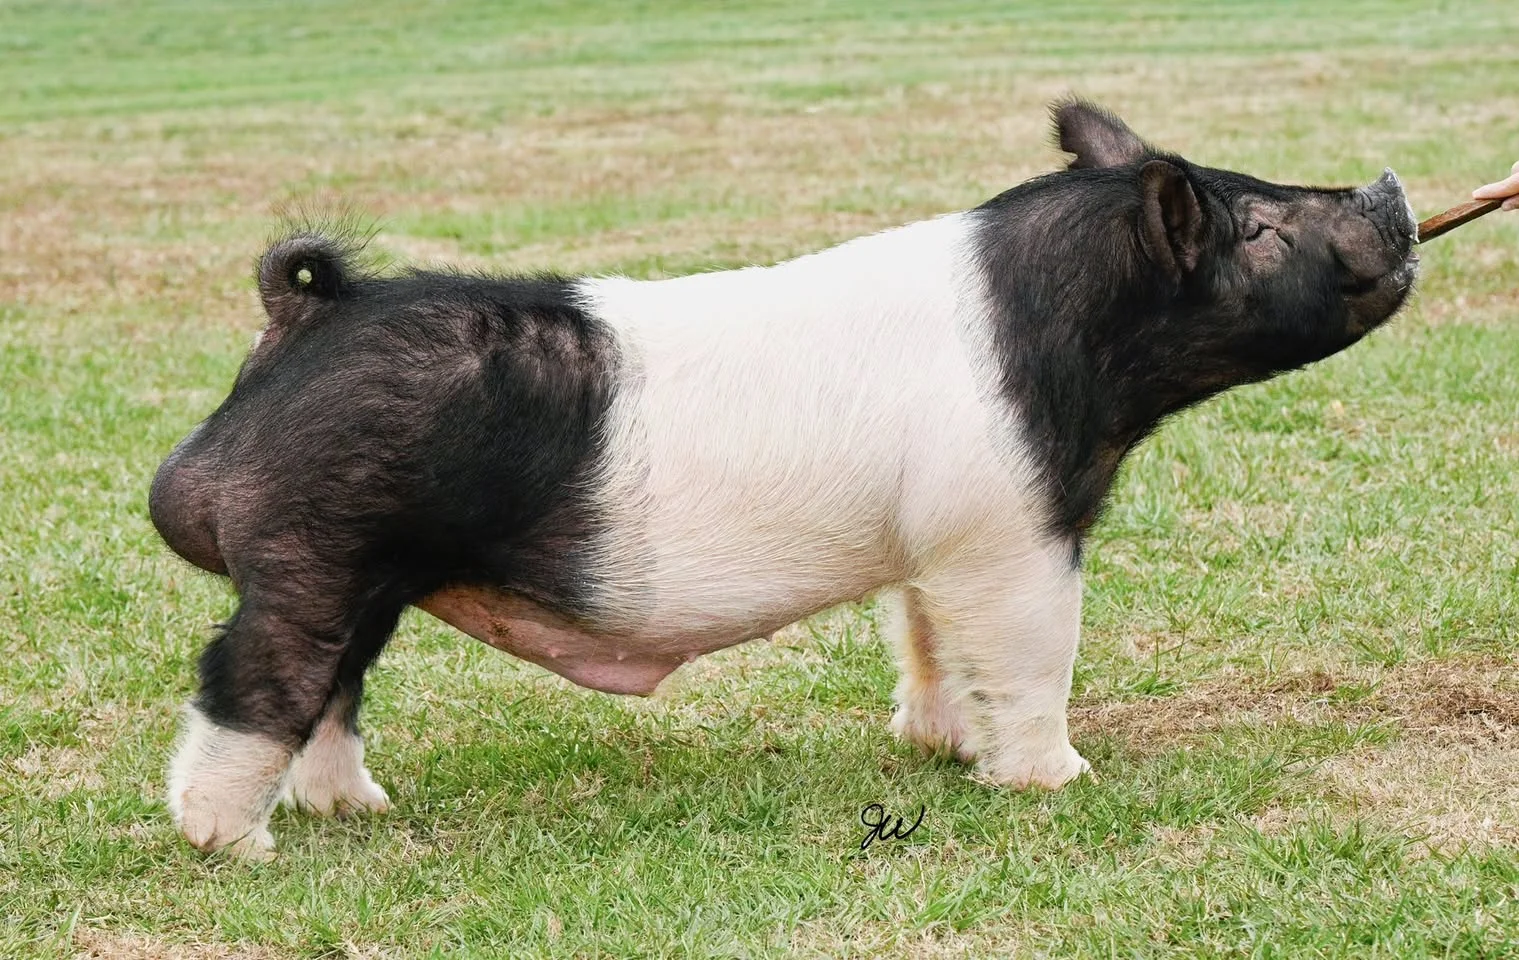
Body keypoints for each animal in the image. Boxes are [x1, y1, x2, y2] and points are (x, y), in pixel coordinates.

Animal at [149, 100, 1418, 857]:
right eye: (1260, 224)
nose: (1385, 184)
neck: (1077, 346)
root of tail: (307, 317)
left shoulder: (936, 542)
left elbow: (929, 637)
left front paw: (936, 749)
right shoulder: (1012, 527)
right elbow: (1029, 651)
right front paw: (1057, 779)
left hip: (366, 571)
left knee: (331, 691)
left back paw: (358, 809)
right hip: (315, 548)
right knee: (250, 679)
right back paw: (235, 844)